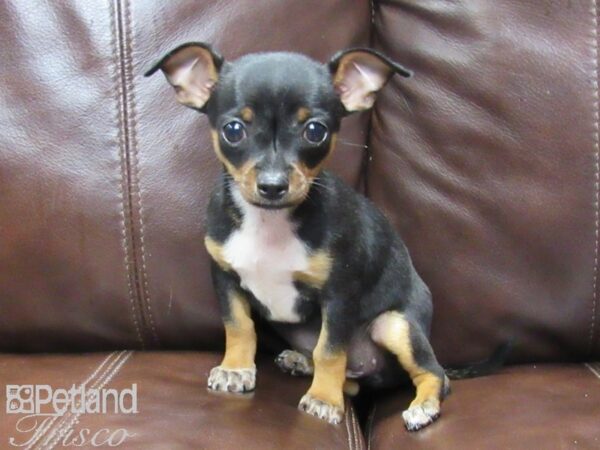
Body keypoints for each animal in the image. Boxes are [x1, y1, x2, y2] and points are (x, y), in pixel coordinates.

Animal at [145, 44, 446, 430]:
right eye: (233, 130)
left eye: (315, 131)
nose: (273, 185)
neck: (269, 222)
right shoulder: (225, 277)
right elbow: (238, 326)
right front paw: (235, 369)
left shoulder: (339, 294)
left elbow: (330, 350)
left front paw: (323, 399)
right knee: (347, 378)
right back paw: (301, 362)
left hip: (395, 325)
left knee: (434, 373)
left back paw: (422, 406)